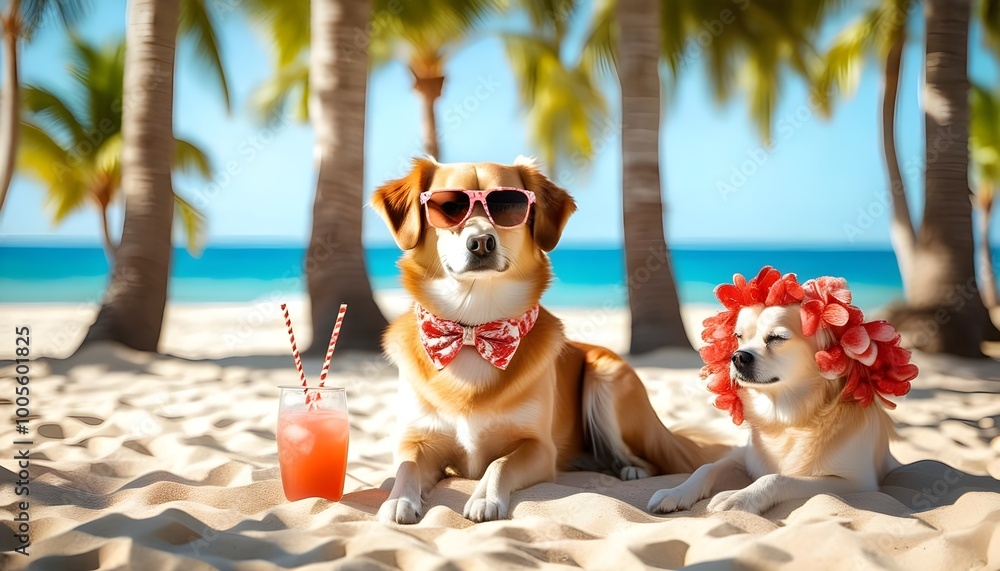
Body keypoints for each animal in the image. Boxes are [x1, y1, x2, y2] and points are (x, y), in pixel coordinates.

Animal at [372, 159, 716, 524]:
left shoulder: (538, 447)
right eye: (449, 207)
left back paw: (629, 469)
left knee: (643, 460)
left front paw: (485, 497)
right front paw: (398, 499)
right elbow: (407, 467)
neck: (474, 329)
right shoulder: (417, 440)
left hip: (605, 379)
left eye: (508, 205)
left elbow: (500, 462)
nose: (481, 242)